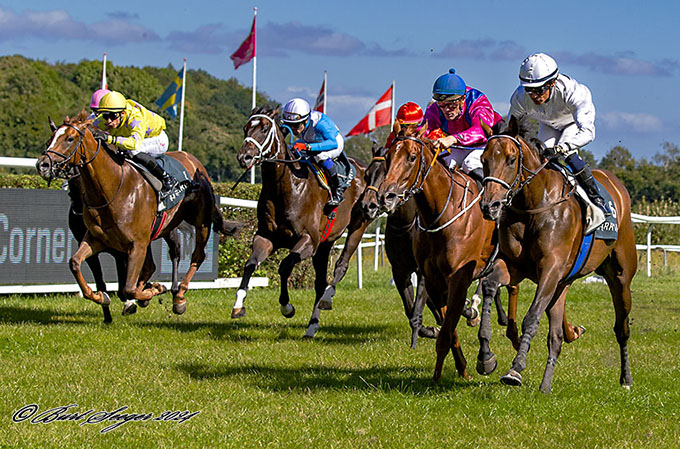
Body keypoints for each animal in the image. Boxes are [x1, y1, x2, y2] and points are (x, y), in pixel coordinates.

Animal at [37, 111, 240, 316]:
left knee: (196, 256)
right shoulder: (97, 239)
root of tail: (194, 161)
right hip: (167, 227)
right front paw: (102, 296)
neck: (113, 188)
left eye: (70, 138)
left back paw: (179, 297)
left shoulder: (137, 244)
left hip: (200, 221)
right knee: (156, 263)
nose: (42, 165)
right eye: (49, 140)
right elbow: (75, 263)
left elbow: (128, 288)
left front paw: (152, 291)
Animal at [231, 104, 370, 336]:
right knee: (320, 282)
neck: (286, 187)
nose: (245, 157)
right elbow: (250, 264)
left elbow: (284, 266)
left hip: (358, 226)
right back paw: (312, 326)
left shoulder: (308, 240)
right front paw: (238, 305)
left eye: (265, 128)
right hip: (325, 243)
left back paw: (327, 299)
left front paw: (286, 307)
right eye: (245, 128)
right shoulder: (267, 237)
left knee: (340, 267)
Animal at [374, 122, 496, 382]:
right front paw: (459, 369)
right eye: (388, 157)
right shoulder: (432, 280)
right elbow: (448, 329)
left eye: (411, 157)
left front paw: (439, 378)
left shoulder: (458, 278)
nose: (385, 196)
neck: (441, 213)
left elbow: (447, 328)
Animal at [480, 116, 636, 392]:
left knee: (622, 327)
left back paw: (626, 379)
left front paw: (515, 368)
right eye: (483, 158)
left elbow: (531, 317)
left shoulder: (550, 270)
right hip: (563, 284)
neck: (534, 204)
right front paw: (486, 356)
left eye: (511, 158)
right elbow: (489, 285)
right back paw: (546, 384)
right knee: (556, 337)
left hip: (620, 278)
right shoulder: (514, 266)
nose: (490, 206)